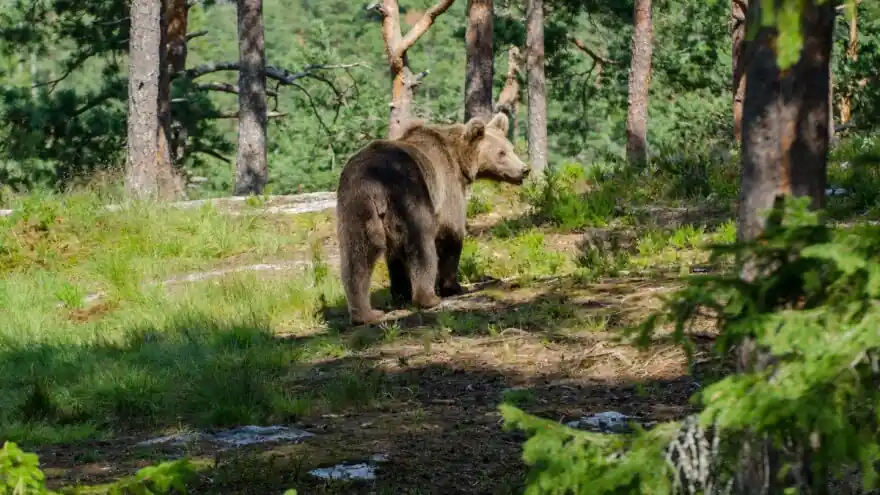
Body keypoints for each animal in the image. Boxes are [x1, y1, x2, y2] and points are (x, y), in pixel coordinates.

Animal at [335, 112, 530, 325]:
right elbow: (451, 232)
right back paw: (427, 298)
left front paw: (401, 293)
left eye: (511, 148)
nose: (524, 169)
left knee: (359, 253)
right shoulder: (447, 186)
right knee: (421, 243)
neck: (459, 160)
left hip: (356, 203)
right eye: (501, 153)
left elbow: (393, 255)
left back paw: (365, 313)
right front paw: (454, 286)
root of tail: (374, 180)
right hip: (410, 193)